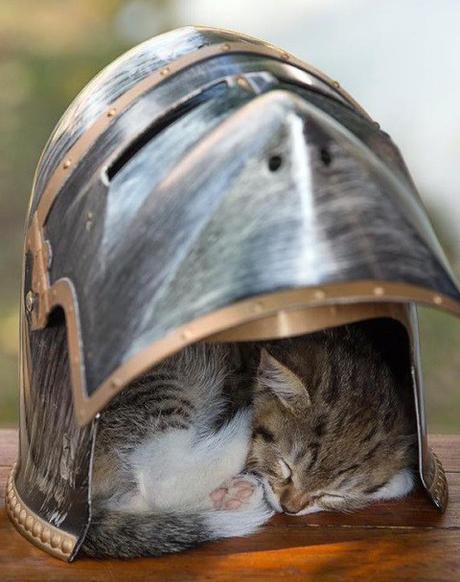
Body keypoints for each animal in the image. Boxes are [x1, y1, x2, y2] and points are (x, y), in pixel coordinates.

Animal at [82, 322, 416, 560]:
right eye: (286, 467)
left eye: (331, 494)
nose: (289, 508)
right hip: (160, 385)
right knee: (162, 476)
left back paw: (230, 497)